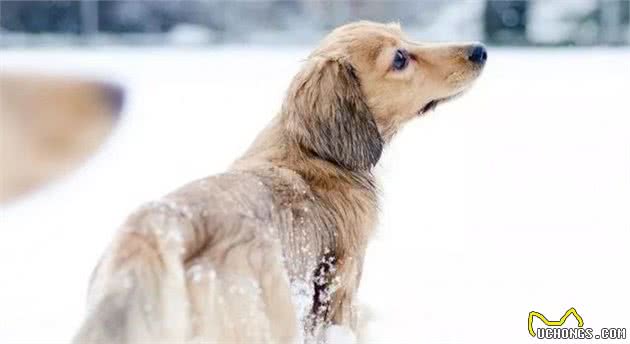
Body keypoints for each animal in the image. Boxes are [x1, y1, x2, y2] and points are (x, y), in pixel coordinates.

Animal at [74, 22, 488, 344]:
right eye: (399, 59)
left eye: (405, 36)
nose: (480, 50)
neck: (313, 150)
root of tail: (160, 230)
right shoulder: (343, 281)